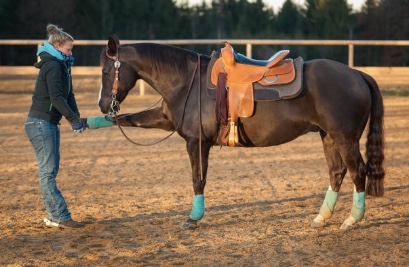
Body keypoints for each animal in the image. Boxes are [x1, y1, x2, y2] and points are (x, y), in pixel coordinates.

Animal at [98, 36, 382, 232]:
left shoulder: (196, 142)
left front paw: (193, 219)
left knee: (358, 172)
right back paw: (322, 218)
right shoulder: (165, 121)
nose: (102, 105)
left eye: (106, 71)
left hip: (345, 139)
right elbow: (126, 119)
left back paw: (352, 220)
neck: (187, 81)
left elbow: (198, 179)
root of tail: (356, 74)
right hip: (329, 137)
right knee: (337, 172)